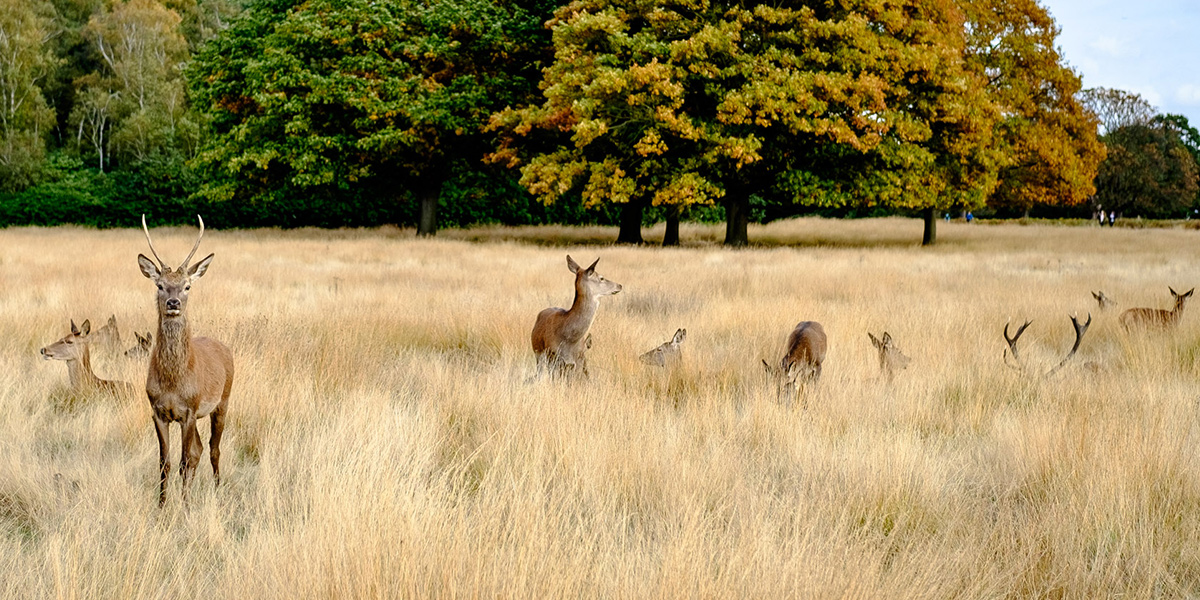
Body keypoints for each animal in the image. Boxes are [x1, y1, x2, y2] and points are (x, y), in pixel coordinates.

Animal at [138, 215, 235, 506]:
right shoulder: (158, 410)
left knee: (213, 449)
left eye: (187, 286)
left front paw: (184, 506)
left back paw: (217, 489)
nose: (173, 302)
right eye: (159, 285)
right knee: (200, 449)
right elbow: (165, 462)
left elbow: (183, 461)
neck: (173, 384)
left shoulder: (190, 410)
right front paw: (162, 505)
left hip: (223, 400)